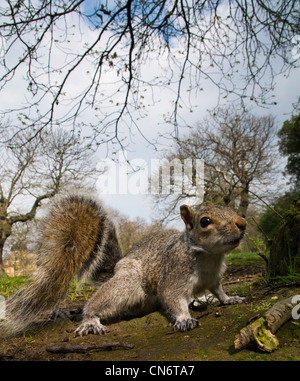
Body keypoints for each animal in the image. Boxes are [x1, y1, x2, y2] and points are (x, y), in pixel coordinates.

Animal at [2, 194, 246, 334]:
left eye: (232, 210)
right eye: (205, 221)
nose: (242, 223)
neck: (209, 256)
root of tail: (116, 268)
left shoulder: (214, 278)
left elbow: (218, 290)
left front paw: (229, 298)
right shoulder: (175, 273)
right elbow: (171, 297)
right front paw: (184, 319)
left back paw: (198, 300)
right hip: (128, 280)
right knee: (100, 301)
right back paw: (90, 320)